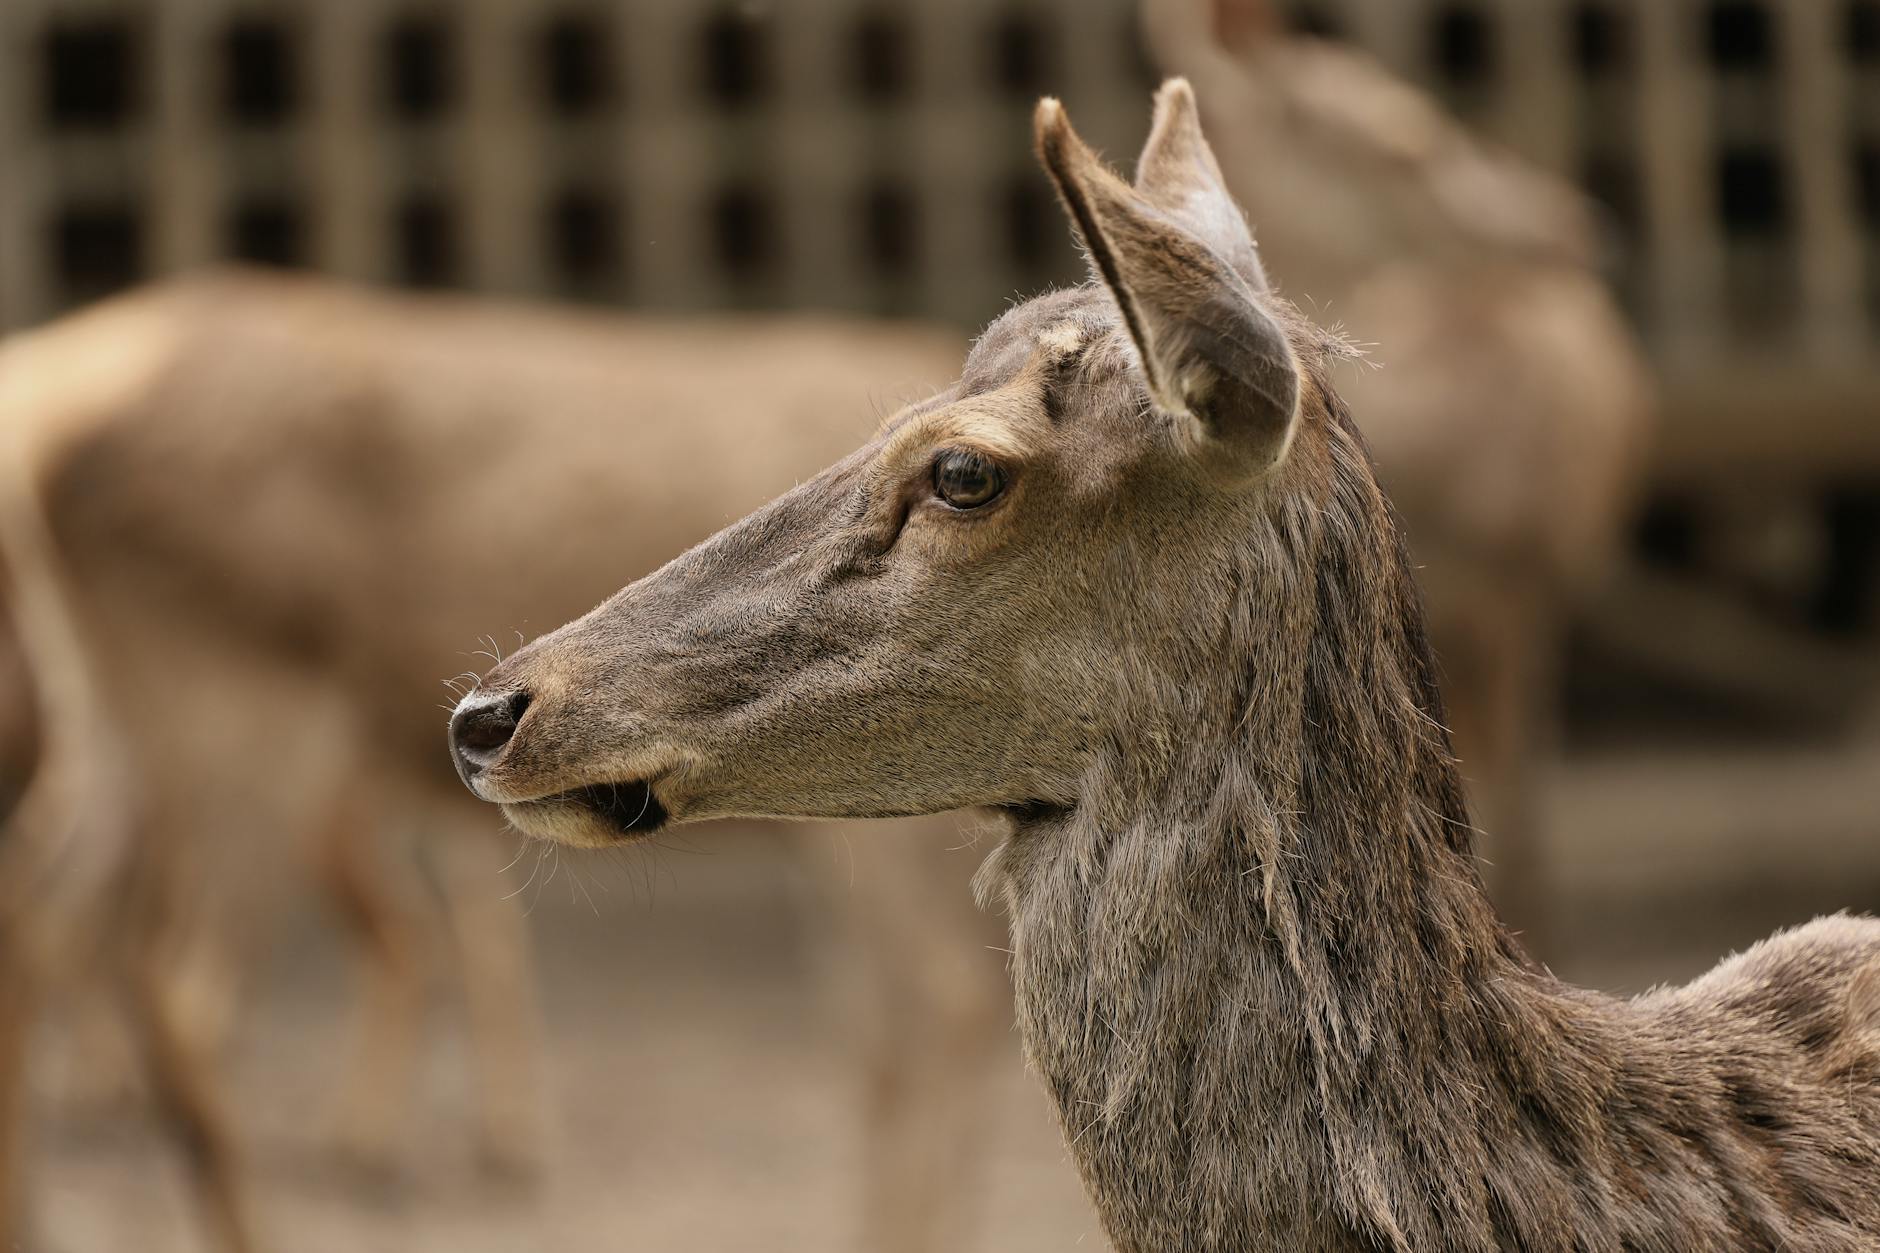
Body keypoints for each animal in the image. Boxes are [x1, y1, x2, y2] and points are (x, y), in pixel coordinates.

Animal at [0, 270, 1003, 1253]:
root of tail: (44, 444)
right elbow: (927, 1023)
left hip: (120, 719)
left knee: (45, 913)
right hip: (243, 708)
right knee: (182, 990)